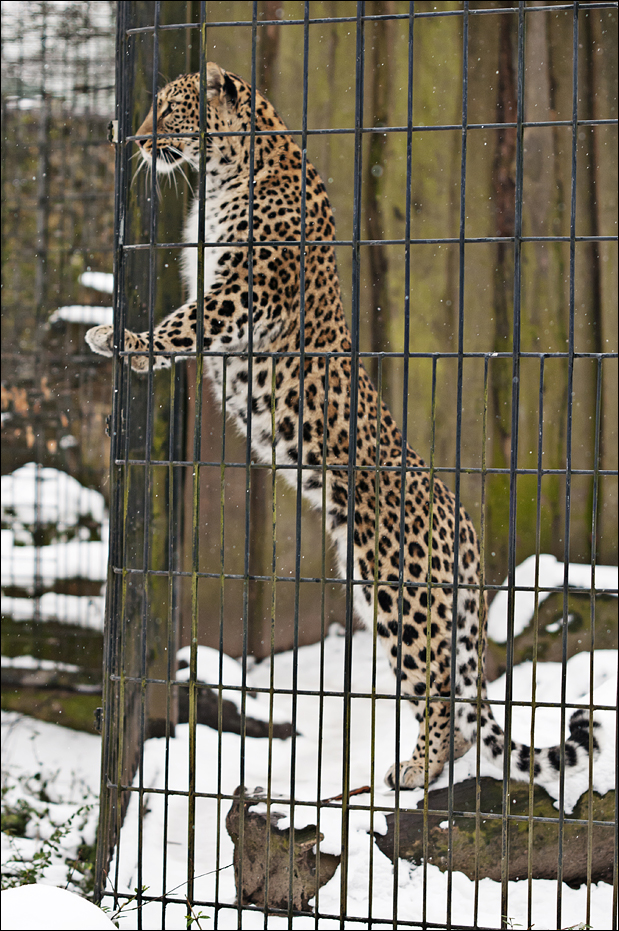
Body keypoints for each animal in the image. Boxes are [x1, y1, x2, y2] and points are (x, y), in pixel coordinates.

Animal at [86, 63, 599, 790]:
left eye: (168, 110)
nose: (134, 138)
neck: (227, 169)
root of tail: (464, 525)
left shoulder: (245, 293)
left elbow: (180, 325)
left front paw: (123, 340)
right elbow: (180, 322)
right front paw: (124, 344)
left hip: (401, 596)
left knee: (440, 692)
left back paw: (416, 769)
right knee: (462, 705)